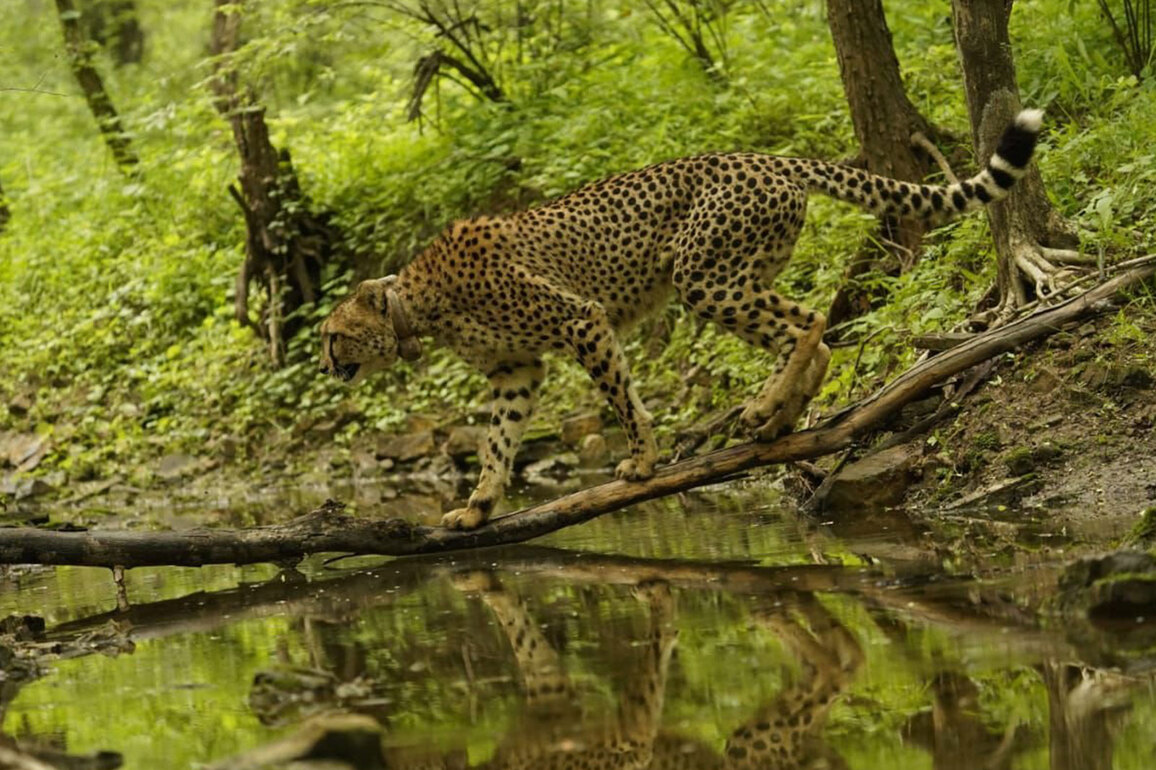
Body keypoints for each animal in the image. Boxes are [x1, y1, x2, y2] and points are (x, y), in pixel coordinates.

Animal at [320, 109, 1044, 530]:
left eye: (333, 335)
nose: (327, 363)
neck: (416, 304)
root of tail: (766, 156)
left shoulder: (581, 320)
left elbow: (622, 398)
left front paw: (642, 462)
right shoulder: (515, 370)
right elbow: (498, 441)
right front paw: (479, 505)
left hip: (704, 278)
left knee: (808, 320)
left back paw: (763, 409)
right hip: (736, 272)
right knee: (811, 331)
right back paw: (779, 419)